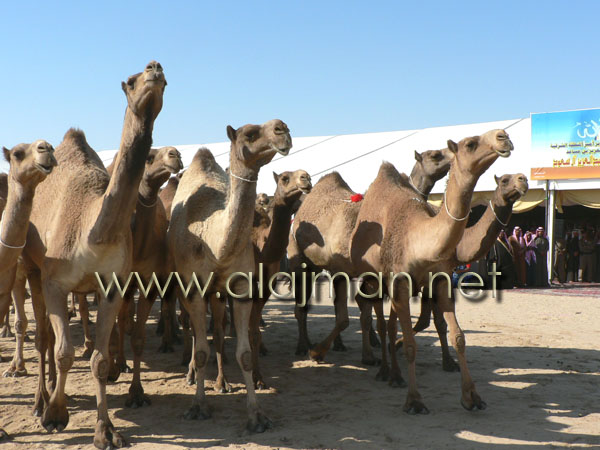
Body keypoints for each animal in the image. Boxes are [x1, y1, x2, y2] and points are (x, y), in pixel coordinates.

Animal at [21, 61, 166, 448]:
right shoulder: (54, 282)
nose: (154, 68)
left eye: (163, 78)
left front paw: (106, 430)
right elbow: (63, 352)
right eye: (130, 81)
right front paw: (55, 416)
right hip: (30, 268)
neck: (93, 233)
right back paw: (41, 400)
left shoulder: (113, 286)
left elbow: (99, 360)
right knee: (43, 339)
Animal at [168, 119, 292, 432]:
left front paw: (256, 415)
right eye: (249, 133)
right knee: (193, 330)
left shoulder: (242, 289)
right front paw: (198, 406)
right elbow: (201, 350)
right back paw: (191, 374)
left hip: (218, 293)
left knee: (220, 329)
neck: (215, 245)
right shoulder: (194, 289)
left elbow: (245, 355)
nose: (282, 129)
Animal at [287, 148, 451, 365]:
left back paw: (337, 344)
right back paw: (302, 346)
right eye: (435, 155)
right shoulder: (343, 269)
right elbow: (348, 317)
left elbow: (363, 313)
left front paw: (369, 355)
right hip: (299, 259)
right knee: (302, 306)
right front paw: (318, 352)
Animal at [350, 129, 513, 414]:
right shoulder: (400, 283)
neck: (419, 240)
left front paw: (472, 396)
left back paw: (395, 375)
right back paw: (384, 370)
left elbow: (457, 336)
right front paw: (415, 401)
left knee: (390, 325)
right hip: (373, 280)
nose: (503, 136)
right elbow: (411, 344)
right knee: (378, 320)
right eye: (470, 143)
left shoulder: (440, 281)